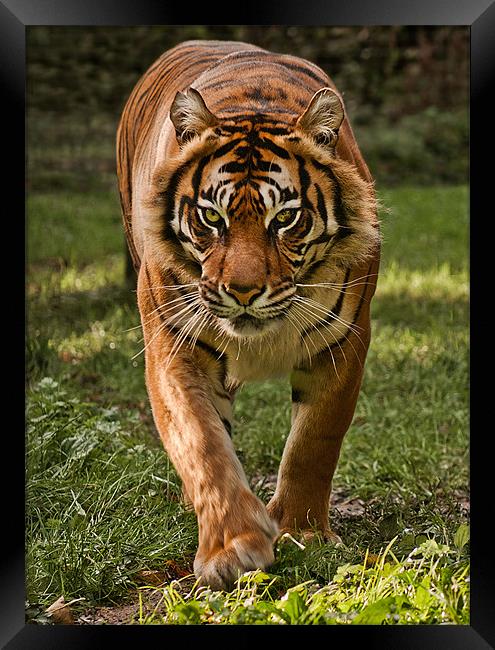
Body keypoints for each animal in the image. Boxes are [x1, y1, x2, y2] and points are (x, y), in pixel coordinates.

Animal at [118, 39, 382, 588]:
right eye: (210, 216)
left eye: (285, 218)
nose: (242, 292)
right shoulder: (174, 345)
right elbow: (201, 442)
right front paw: (231, 547)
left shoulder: (344, 341)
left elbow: (313, 442)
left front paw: (305, 532)